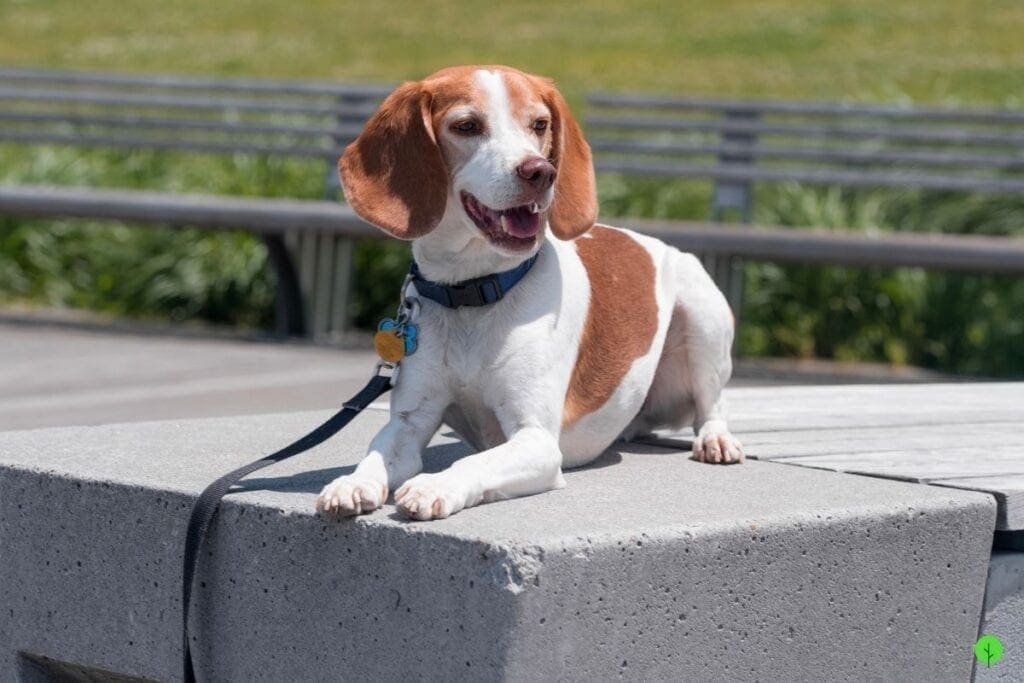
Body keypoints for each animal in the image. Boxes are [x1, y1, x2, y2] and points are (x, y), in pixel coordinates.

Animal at [315, 66, 741, 520]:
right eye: (466, 126)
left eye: (540, 125)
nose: (540, 172)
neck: (474, 294)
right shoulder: (410, 422)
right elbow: (378, 453)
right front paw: (352, 483)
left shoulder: (536, 439)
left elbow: (472, 462)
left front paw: (434, 486)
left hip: (703, 317)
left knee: (712, 404)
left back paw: (716, 439)